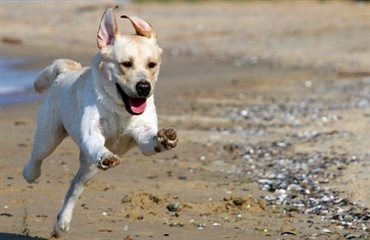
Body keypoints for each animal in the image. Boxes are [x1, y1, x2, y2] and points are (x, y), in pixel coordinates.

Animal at [21, 6, 178, 236]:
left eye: (152, 65)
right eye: (126, 64)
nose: (144, 87)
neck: (121, 109)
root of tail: (68, 69)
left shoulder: (143, 134)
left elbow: (151, 140)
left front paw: (165, 139)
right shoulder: (91, 133)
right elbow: (97, 144)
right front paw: (106, 155)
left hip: (88, 168)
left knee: (74, 187)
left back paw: (62, 223)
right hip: (49, 137)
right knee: (37, 157)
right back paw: (30, 174)